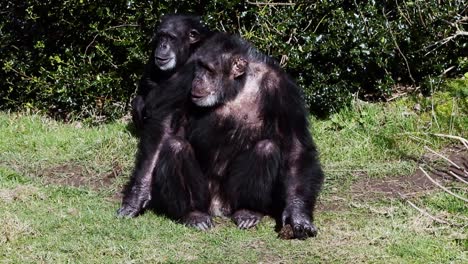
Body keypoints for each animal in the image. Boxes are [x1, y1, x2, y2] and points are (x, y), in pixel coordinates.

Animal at [117, 14, 214, 229]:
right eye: (160, 36)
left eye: (170, 37)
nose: (162, 46)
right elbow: (161, 123)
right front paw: (138, 195)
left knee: (176, 147)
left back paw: (195, 214)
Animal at [187, 33, 326, 239]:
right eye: (199, 66)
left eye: (208, 69)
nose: (197, 79)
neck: (240, 83)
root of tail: (219, 208)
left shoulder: (284, 91)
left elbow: (296, 148)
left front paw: (298, 215)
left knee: (265, 147)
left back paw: (248, 212)